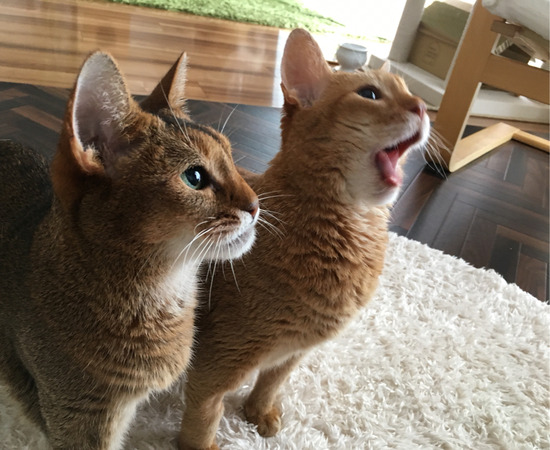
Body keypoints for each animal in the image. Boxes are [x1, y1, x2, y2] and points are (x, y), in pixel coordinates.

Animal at [178, 28, 430, 450]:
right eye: (371, 94)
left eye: (410, 90)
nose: (424, 107)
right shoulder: (217, 359)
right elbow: (205, 414)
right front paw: (203, 444)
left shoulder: (293, 352)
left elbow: (271, 383)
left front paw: (259, 413)